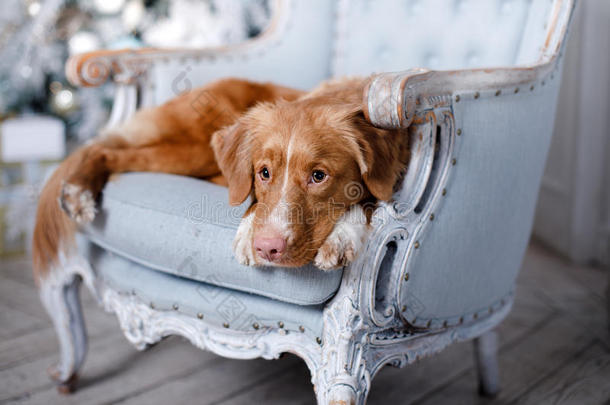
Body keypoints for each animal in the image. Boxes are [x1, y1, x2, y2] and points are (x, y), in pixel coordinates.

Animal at [29, 77, 408, 282]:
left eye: (319, 176)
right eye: (263, 173)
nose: (268, 247)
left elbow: (370, 198)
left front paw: (342, 236)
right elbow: (249, 196)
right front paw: (247, 233)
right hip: (196, 150)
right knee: (104, 151)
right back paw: (78, 191)